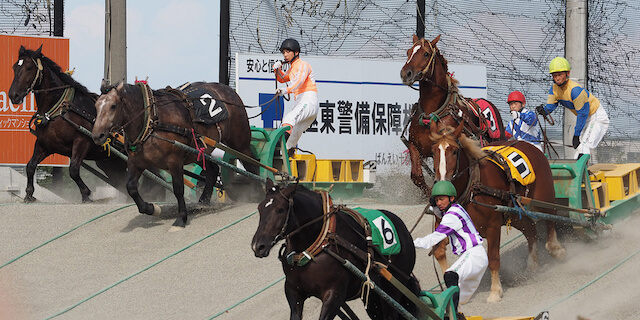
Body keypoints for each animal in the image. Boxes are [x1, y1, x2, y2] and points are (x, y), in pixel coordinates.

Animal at [7, 45, 132, 202]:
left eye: (29, 68)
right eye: (14, 67)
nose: (13, 95)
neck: (60, 108)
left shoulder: (82, 141)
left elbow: (73, 170)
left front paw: (86, 194)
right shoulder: (44, 144)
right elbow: (30, 166)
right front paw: (29, 194)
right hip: (110, 163)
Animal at [92, 80, 258, 230]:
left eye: (113, 106)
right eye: (96, 106)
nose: (97, 135)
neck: (152, 121)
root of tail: (228, 90)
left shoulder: (174, 161)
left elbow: (178, 189)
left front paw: (181, 218)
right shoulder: (136, 162)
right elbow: (131, 187)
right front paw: (151, 208)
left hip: (239, 142)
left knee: (252, 165)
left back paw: (258, 192)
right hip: (197, 150)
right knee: (212, 169)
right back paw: (203, 201)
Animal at [252, 179, 422, 318]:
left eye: (280, 209)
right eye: (260, 208)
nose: (258, 245)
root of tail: (403, 229)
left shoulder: (334, 295)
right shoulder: (294, 292)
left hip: (392, 289)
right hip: (373, 296)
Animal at [400, 35, 504, 200]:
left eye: (426, 54)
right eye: (408, 52)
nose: (406, 73)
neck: (432, 113)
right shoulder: (415, 145)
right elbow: (417, 176)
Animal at [430, 122, 564, 302]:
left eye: (454, 151)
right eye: (433, 151)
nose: (441, 186)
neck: (473, 187)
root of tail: (530, 145)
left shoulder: (492, 226)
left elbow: (493, 258)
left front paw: (495, 291)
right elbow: (438, 252)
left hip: (544, 196)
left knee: (551, 217)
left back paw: (555, 247)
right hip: (515, 214)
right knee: (531, 231)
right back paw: (533, 263)